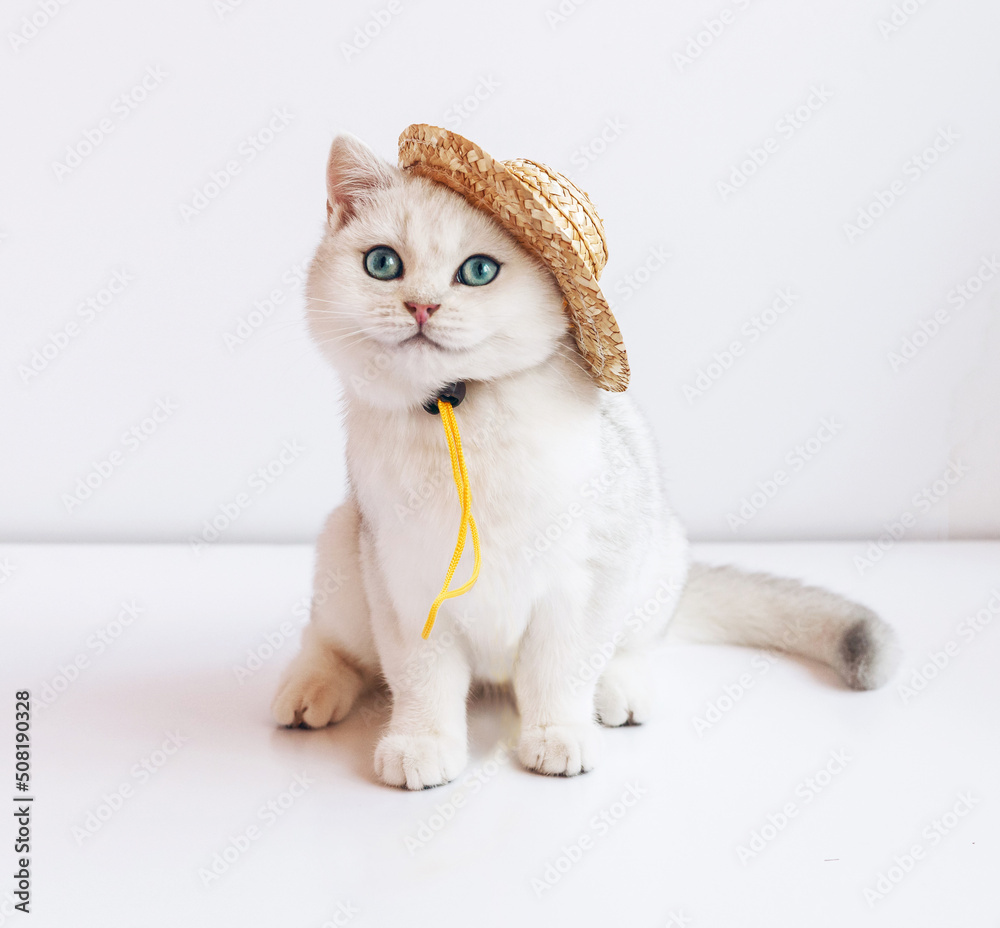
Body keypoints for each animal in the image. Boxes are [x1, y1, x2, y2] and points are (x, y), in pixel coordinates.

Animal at [272, 134, 900, 788]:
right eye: (382, 263)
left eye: (478, 271)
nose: (421, 307)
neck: (461, 421)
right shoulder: (406, 583)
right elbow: (422, 680)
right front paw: (421, 744)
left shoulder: (586, 577)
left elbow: (560, 670)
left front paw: (557, 735)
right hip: (342, 549)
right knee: (333, 646)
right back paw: (308, 692)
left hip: (657, 554)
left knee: (632, 647)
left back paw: (620, 694)